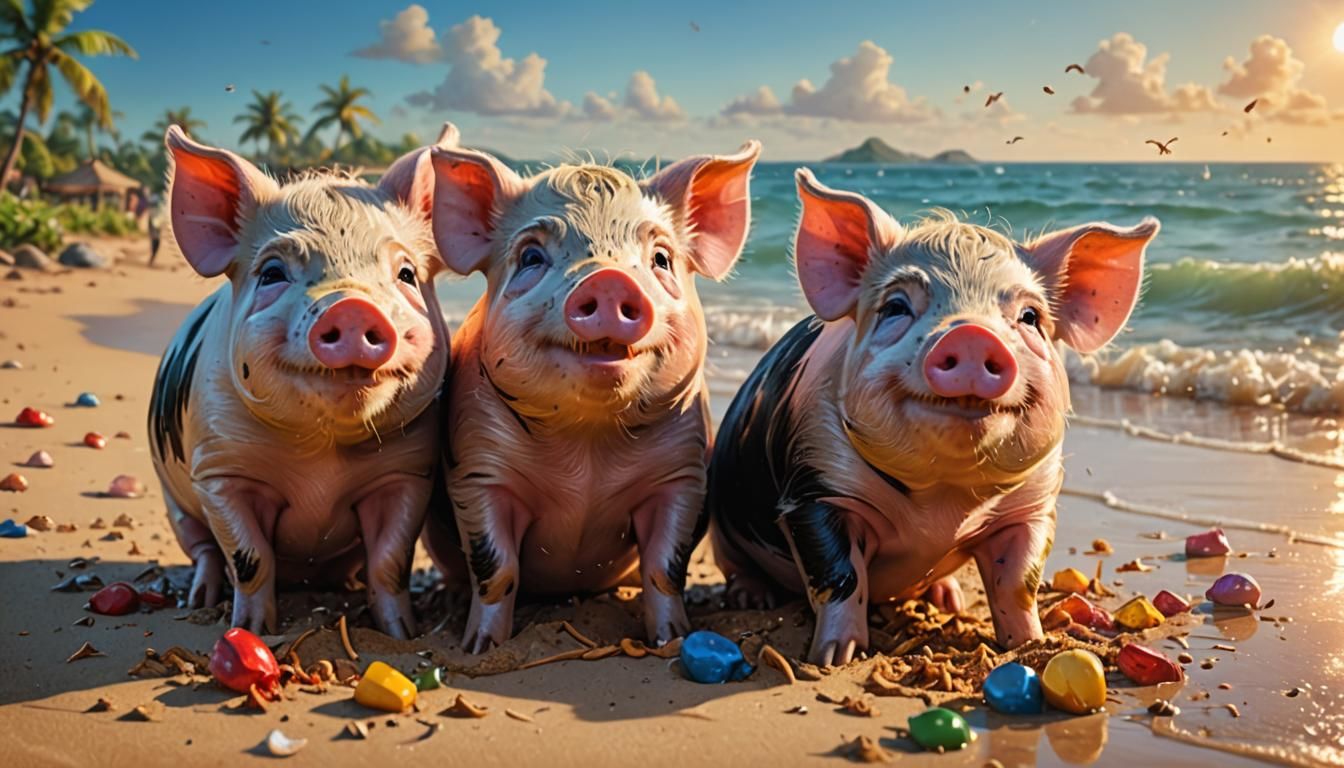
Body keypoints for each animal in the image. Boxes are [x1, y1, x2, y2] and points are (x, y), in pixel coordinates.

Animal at [148, 125, 454, 638]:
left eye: (407, 273)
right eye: (272, 272)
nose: (353, 307)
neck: (321, 458)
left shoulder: (407, 472)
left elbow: (390, 561)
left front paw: (401, 633)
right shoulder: (219, 471)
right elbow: (249, 557)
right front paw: (252, 630)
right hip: (174, 502)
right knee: (203, 549)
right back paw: (199, 598)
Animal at [420, 135, 761, 652]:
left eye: (661, 259)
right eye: (531, 257)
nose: (608, 279)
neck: (587, 446)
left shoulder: (682, 474)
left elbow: (666, 567)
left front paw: (672, 639)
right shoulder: (478, 470)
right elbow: (496, 569)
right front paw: (479, 647)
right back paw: (450, 601)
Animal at [707, 169, 1158, 665]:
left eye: (1029, 316)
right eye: (895, 307)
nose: (972, 334)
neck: (943, 502)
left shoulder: (1033, 505)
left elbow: (1018, 584)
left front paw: (1031, 645)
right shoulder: (814, 488)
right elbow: (840, 578)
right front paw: (836, 658)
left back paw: (949, 599)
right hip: (720, 520)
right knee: (735, 565)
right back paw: (753, 598)